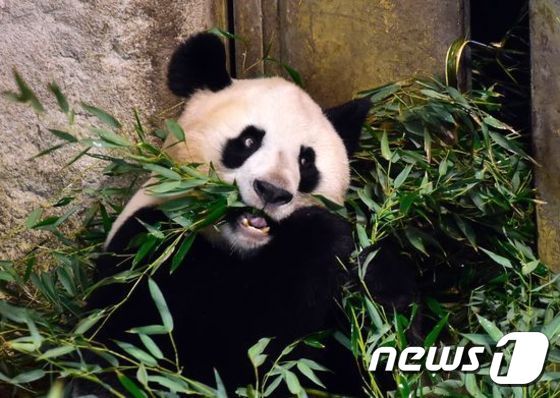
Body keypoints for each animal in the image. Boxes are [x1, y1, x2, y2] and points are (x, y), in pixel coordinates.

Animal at [80, 32, 406, 396]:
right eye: (248, 141)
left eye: (306, 160)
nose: (272, 191)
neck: (240, 249)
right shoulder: (146, 256)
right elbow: (224, 349)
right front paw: (322, 234)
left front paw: (373, 271)